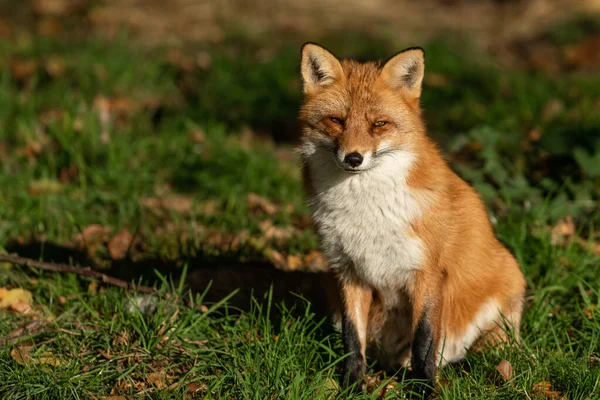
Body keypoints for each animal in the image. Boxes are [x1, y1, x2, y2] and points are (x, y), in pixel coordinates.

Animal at [298, 43, 524, 394]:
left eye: (379, 124)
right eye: (336, 120)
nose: (353, 158)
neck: (366, 210)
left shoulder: (426, 273)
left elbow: (424, 342)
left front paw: (425, 389)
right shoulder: (348, 272)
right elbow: (352, 340)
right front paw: (352, 385)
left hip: (505, 288)